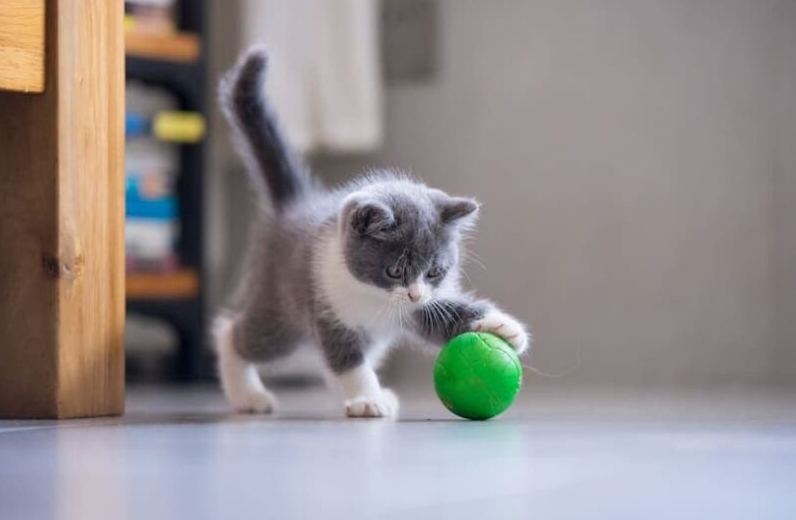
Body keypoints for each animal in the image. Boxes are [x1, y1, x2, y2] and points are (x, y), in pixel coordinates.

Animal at [215, 46, 532, 416]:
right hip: (281, 308)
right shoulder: (328, 305)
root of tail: (296, 204)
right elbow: (347, 359)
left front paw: (503, 327)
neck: (375, 297)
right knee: (235, 332)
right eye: (394, 270)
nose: (414, 294)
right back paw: (247, 393)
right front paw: (367, 398)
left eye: (434, 272)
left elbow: (445, 315)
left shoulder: (422, 308)